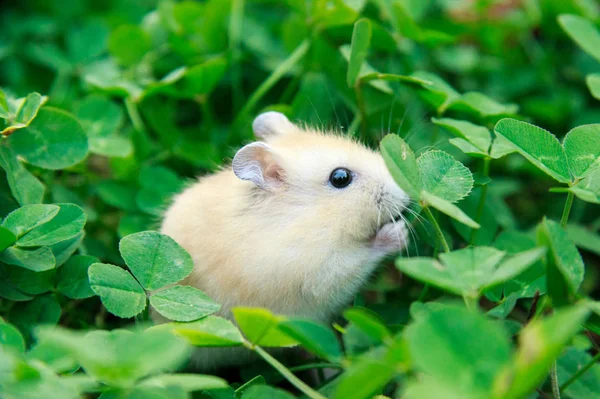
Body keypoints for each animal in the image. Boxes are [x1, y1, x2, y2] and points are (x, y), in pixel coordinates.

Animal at [159, 111, 410, 370]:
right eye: (340, 178)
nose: (406, 194)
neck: (305, 217)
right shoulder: (317, 272)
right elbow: (361, 257)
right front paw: (400, 233)